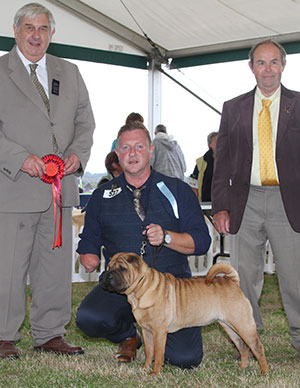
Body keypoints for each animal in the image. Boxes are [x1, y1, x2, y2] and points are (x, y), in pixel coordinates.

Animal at [102, 252, 268, 376]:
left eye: (122, 268)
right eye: (108, 267)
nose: (107, 276)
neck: (142, 287)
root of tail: (232, 281)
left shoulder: (159, 332)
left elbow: (159, 353)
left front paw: (155, 373)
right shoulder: (147, 331)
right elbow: (149, 352)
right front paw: (145, 368)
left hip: (243, 325)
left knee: (257, 347)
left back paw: (264, 372)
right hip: (230, 327)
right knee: (243, 347)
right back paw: (242, 368)